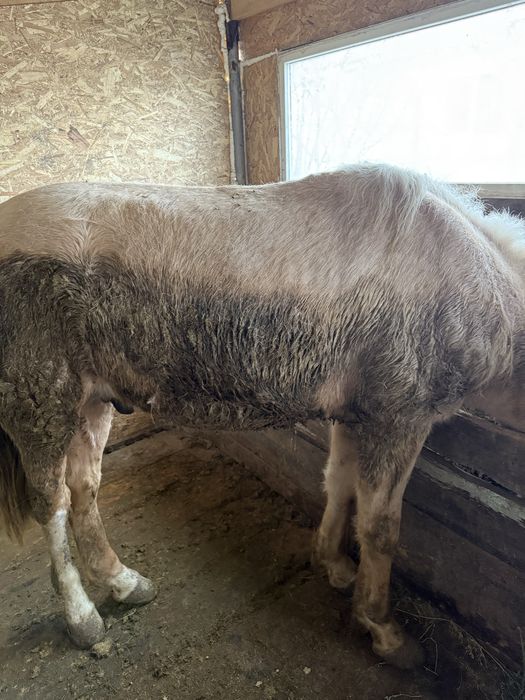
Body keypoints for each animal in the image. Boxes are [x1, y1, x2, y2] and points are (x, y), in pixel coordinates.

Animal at [0, 164, 523, 668]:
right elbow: (381, 527)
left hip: (91, 403)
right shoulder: (399, 419)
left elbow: (339, 485)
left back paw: (125, 582)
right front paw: (385, 632)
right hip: (42, 404)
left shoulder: (355, 417)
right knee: (52, 505)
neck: (475, 271)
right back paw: (83, 619)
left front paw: (334, 566)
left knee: (85, 489)